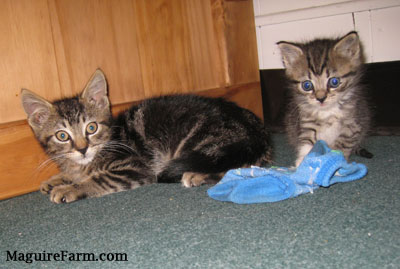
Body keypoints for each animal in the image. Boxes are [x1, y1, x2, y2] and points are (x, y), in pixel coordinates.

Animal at [21, 70, 272, 202]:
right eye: (62, 136)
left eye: (91, 128)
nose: (82, 148)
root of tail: (256, 131)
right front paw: (56, 179)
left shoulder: (134, 167)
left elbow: (99, 178)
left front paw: (70, 188)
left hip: (204, 141)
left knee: (233, 168)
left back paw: (197, 175)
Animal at [278, 30, 372, 165]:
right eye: (307, 85)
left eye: (334, 82)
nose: (321, 98)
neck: (327, 112)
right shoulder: (307, 123)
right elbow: (307, 143)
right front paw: (302, 163)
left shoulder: (352, 125)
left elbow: (342, 145)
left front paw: (335, 162)